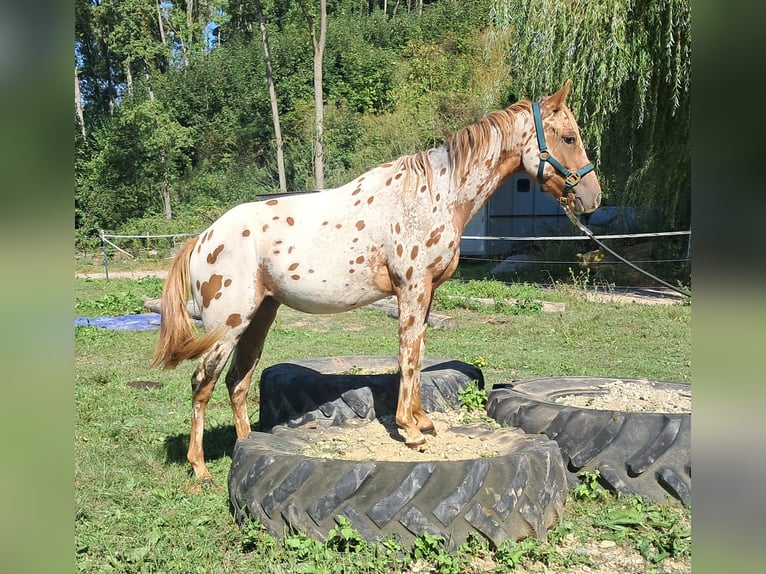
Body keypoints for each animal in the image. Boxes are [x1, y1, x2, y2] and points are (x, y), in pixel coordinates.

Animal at [153, 81, 604, 484]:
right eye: (568, 137)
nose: (593, 198)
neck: (433, 194)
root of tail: (203, 238)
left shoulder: (427, 292)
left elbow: (417, 352)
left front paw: (422, 420)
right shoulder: (412, 287)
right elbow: (407, 355)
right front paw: (411, 431)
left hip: (258, 318)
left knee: (238, 382)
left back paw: (247, 445)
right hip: (226, 325)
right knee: (202, 383)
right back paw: (200, 469)